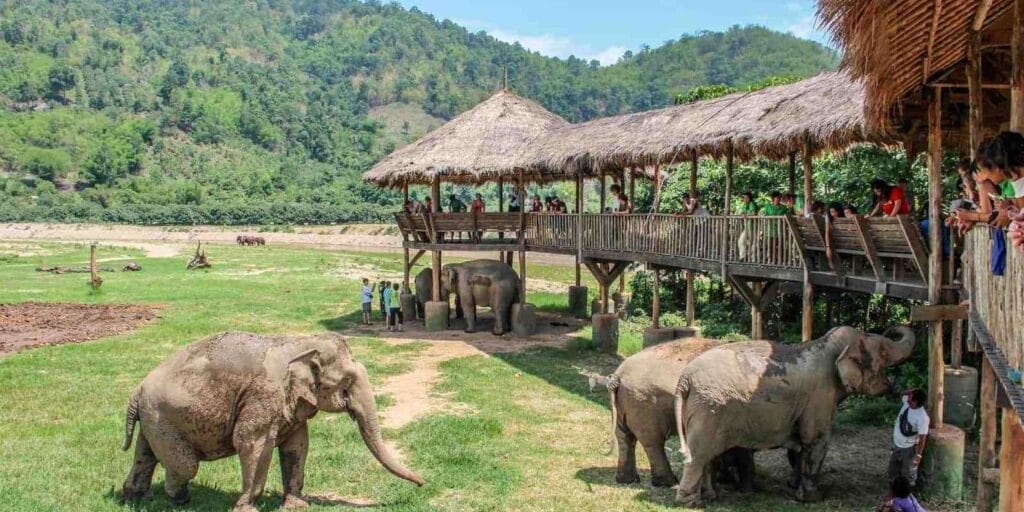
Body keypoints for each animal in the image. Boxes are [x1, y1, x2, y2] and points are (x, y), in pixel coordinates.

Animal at [120, 332, 424, 512]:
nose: (423, 483)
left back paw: (134, 497)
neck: (297, 343)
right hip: (162, 418)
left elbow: (298, 445)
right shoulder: (263, 395)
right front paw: (247, 508)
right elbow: (251, 442)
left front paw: (297, 506)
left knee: (145, 455)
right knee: (186, 465)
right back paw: (178, 498)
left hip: (154, 420)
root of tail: (136, 391)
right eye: (347, 383)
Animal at [590, 338, 755, 492]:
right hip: (645, 404)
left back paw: (627, 480)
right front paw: (747, 487)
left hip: (624, 404)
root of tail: (617, 376)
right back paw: (667, 482)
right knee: (652, 442)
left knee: (625, 436)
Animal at [672, 325, 915, 506]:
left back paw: (710, 496)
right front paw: (813, 498)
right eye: (883, 351)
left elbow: (800, 446)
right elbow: (816, 440)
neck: (826, 344)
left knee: (707, 456)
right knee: (699, 454)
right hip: (709, 409)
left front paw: (793, 487)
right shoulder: (821, 395)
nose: (891, 328)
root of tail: (684, 379)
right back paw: (691, 502)